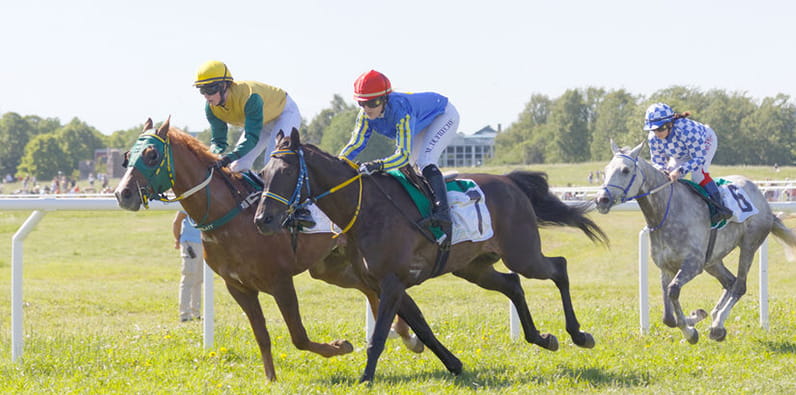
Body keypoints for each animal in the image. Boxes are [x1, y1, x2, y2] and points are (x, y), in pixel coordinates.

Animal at [115, 118, 420, 384]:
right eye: (128, 156)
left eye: (152, 155)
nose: (122, 193)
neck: (229, 216)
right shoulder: (238, 287)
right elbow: (261, 334)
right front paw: (271, 379)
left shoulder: (280, 281)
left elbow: (298, 336)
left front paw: (341, 346)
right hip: (333, 268)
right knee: (371, 291)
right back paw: (406, 335)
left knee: (377, 292)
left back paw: (406, 337)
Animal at [255, 130, 608, 384]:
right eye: (263, 171)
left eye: (286, 171)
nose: (262, 219)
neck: (366, 209)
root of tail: (509, 181)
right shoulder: (387, 284)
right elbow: (421, 327)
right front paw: (454, 363)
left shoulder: (392, 282)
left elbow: (379, 336)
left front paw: (365, 379)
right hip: (474, 267)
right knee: (513, 284)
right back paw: (541, 337)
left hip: (523, 254)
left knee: (558, 267)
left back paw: (579, 334)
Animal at [592, 142, 792, 344]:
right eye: (605, 170)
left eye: (625, 170)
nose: (601, 200)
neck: (668, 211)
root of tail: (762, 197)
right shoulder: (666, 268)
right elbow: (668, 317)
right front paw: (696, 317)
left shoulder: (693, 265)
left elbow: (673, 291)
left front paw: (690, 332)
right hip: (712, 261)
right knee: (730, 282)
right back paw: (716, 320)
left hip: (749, 244)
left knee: (739, 285)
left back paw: (718, 325)